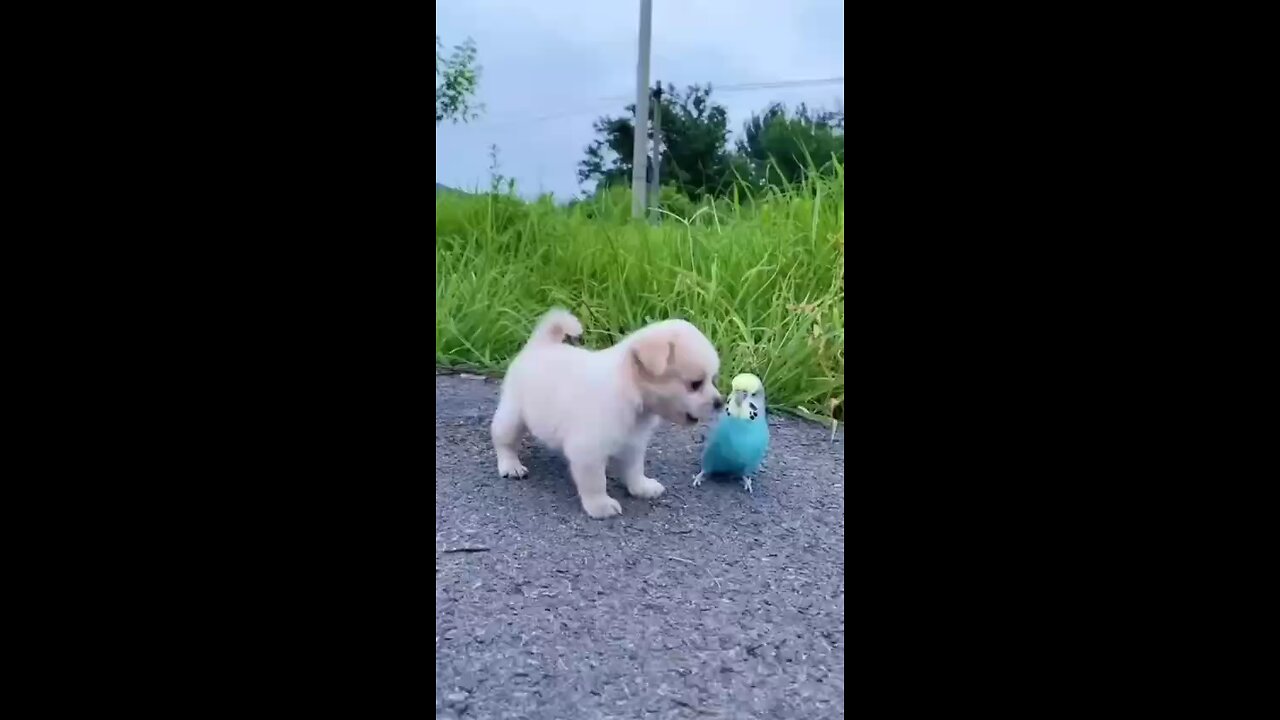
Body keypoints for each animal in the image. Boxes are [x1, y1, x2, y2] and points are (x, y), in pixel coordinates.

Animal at [488, 307, 727, 515]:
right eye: (695, 384)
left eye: (713, 380)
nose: (720, 402)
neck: (630, 390)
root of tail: (541, 345)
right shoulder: (588, 452)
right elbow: (595, 481)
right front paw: (600, 506)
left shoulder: (633, 444)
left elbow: (634, 469)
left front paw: (642, 488)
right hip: (513, 414)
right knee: (503, 439)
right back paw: (511, 466)